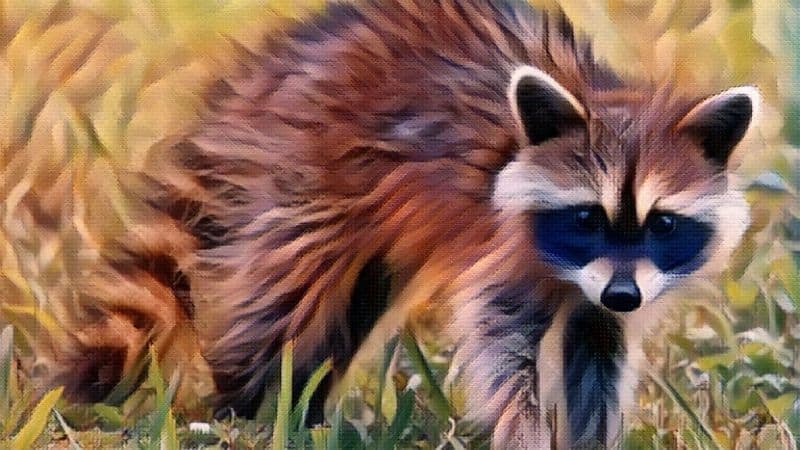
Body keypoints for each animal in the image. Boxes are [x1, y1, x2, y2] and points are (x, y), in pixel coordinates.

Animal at [50, 0, 758, 448]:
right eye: (587, 216)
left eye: (662, 224)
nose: (623, 293)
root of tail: (267, 72)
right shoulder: (505, 250)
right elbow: (500, 343)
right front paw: (523, 432)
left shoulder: (603, 292)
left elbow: (595, 355)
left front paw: (588, 437)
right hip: (304, 175)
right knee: (281, 303)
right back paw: (245, 407)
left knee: (348, 311)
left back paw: (298, 409)